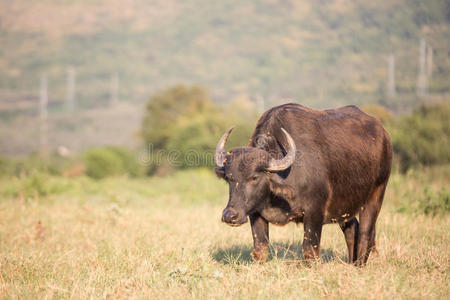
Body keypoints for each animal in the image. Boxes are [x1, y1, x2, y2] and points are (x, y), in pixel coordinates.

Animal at [214, 102, 390, 264]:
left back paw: (359, 265)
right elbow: (260, 249)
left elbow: (309, 251)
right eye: (229, 178)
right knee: (352, 230)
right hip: (345, 207)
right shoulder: (255, 213)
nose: (230, 216)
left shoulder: (315, 212)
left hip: (376, 195)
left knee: (365, 234)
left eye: (254, 177)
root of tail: (384, 135)